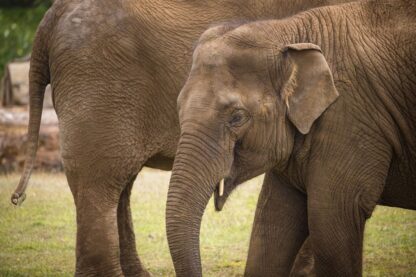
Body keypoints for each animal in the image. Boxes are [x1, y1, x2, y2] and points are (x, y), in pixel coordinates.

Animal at [167, 0, 416, 274]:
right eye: (178, 108)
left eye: (237, 117)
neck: (289, 32)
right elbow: (271, 224)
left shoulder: (353, 117)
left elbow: (330, 220)